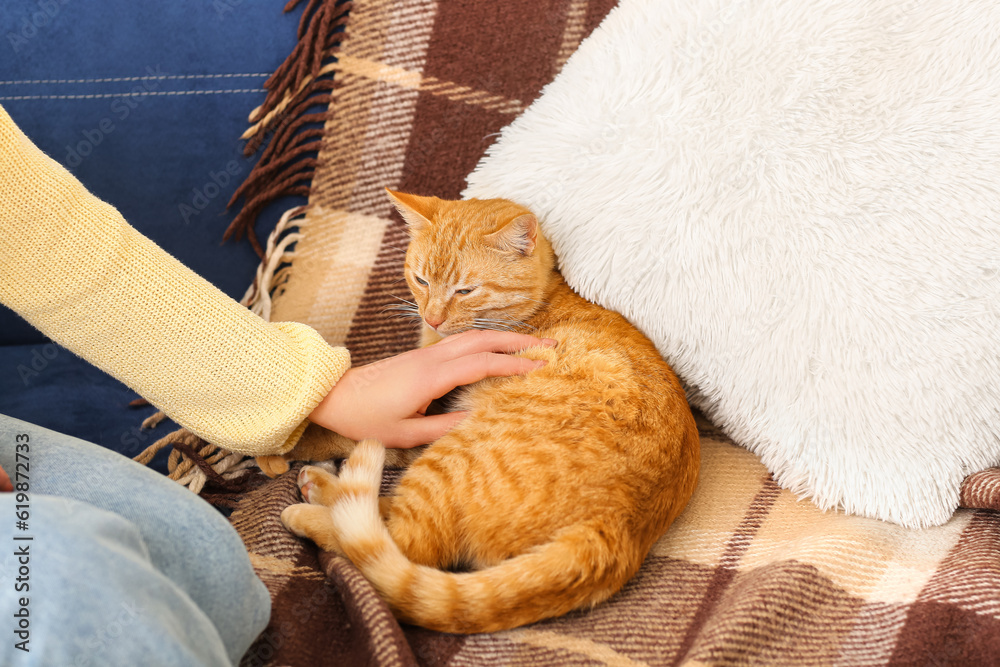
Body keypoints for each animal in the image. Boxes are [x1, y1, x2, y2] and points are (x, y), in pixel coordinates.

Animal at [282, 190, 700, 636]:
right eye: (422, 280)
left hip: (452, 455)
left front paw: (295, 444)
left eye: (465, 290)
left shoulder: (432, 421)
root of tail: (613, 528)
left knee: (402, 540)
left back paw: (311, 506)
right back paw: (323, 486)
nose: (431, 317)